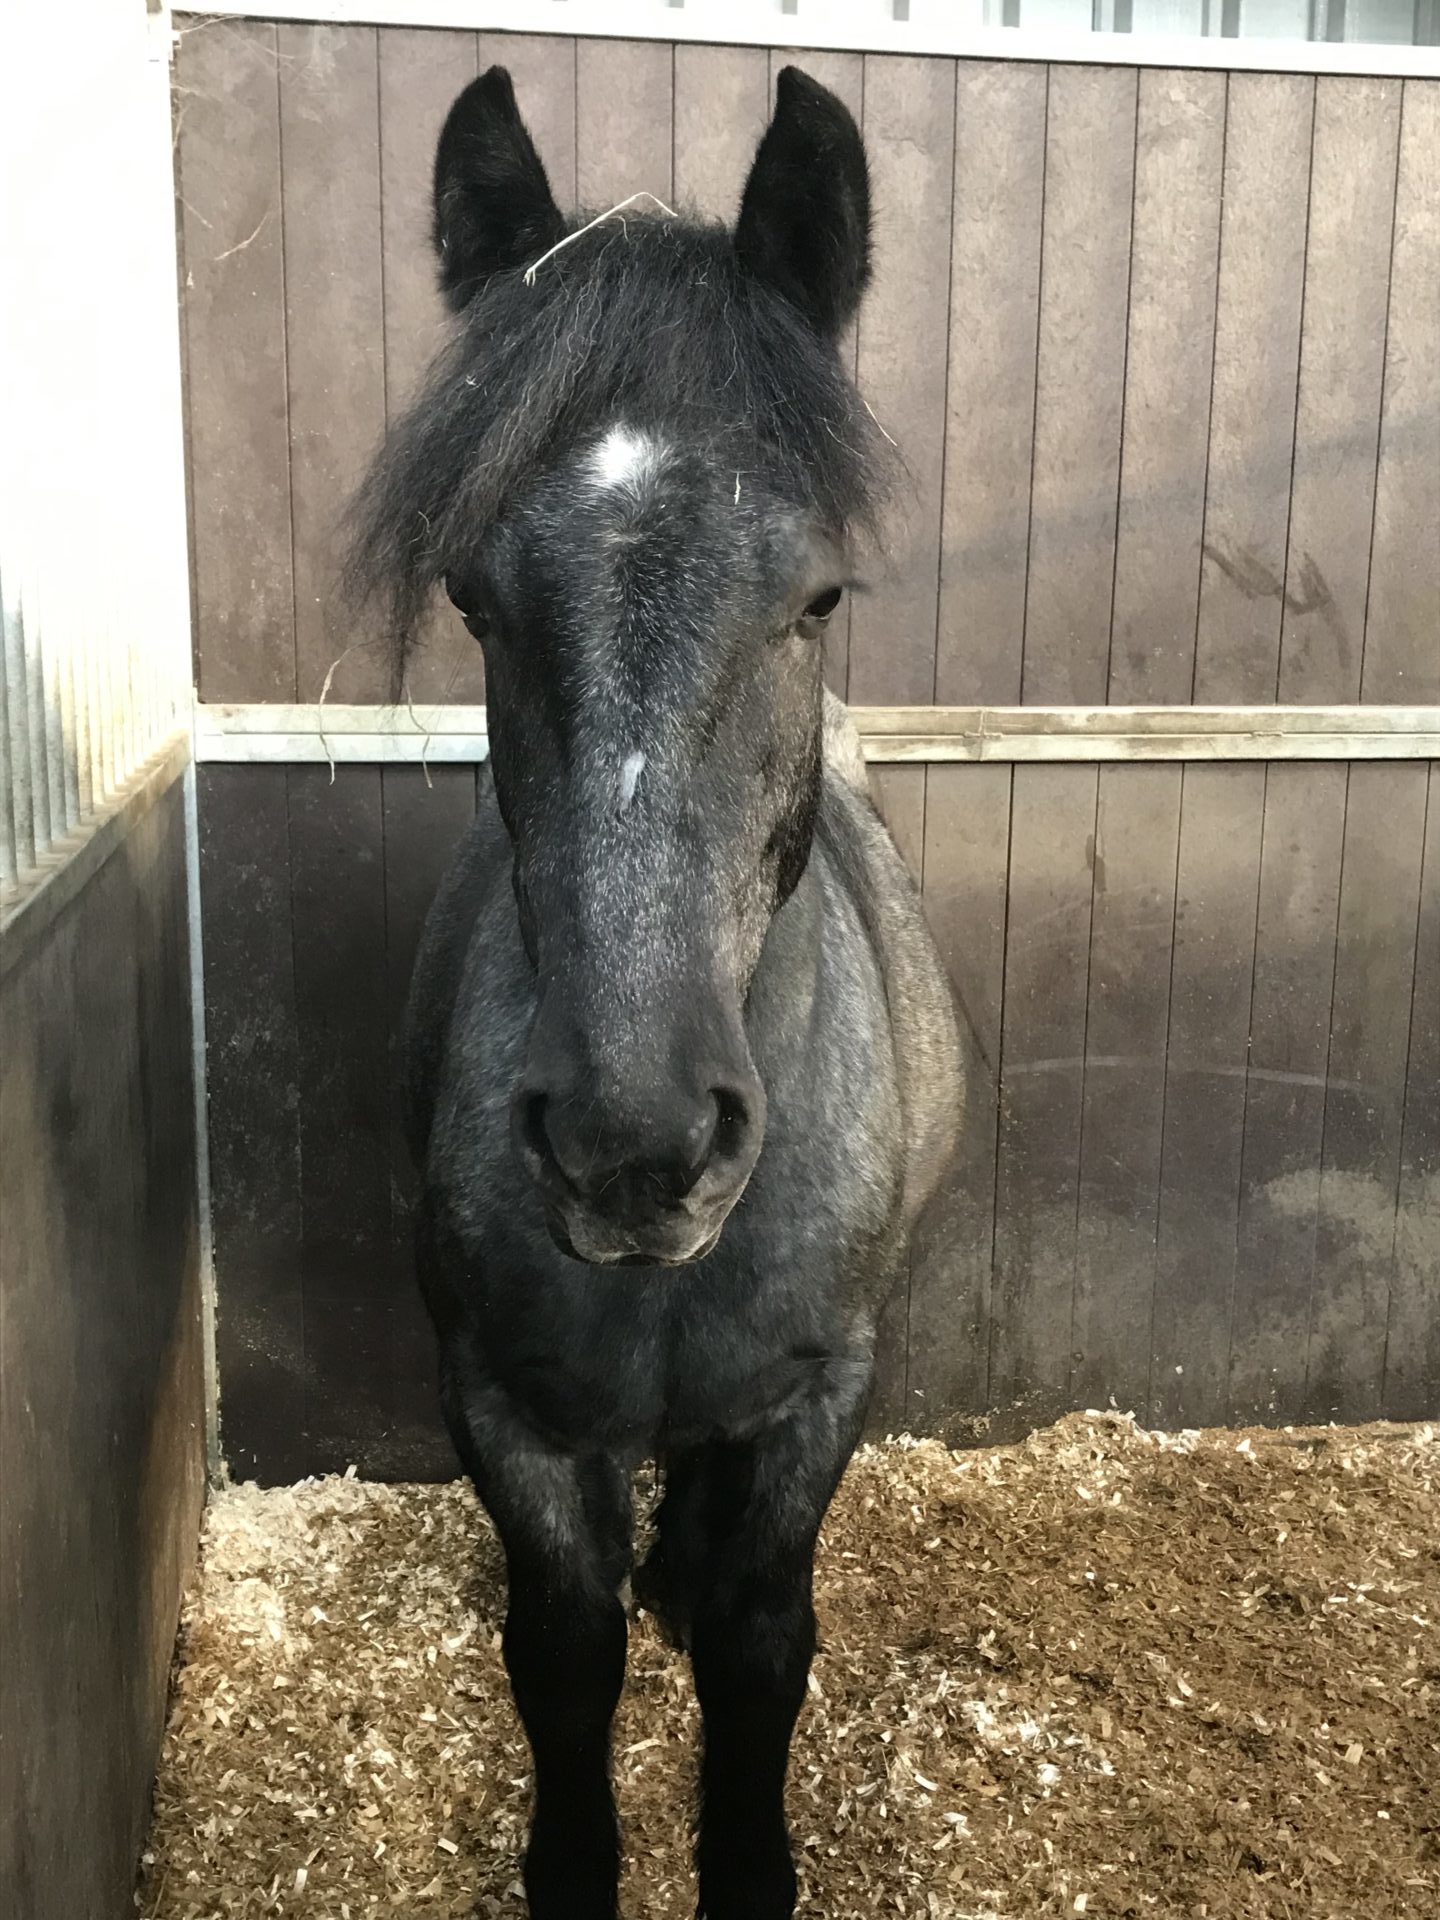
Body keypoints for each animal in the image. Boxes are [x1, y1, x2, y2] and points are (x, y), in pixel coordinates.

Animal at [345, 60, 963, 1920]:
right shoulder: (502, 1403)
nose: (635, 1145)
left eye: (816, 595)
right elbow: (561, 1655)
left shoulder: (825, 1391)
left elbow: (766, 1648)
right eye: (475, 598)